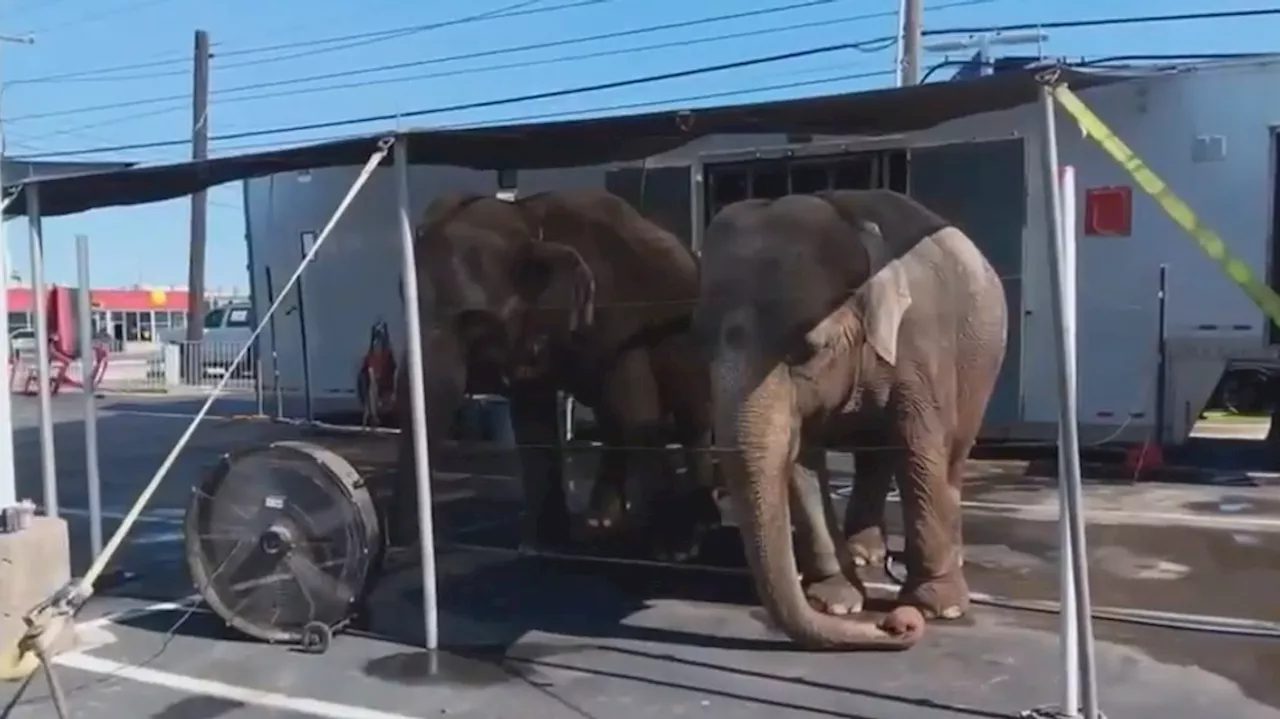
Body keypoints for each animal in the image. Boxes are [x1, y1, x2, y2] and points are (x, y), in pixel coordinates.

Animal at [691, 188, 1008, 647]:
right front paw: (836, 603)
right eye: (697, 343)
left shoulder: (921, 341)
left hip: (983, 364)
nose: (896, 626)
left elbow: (920, 450)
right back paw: (864, 554)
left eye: (808, 348)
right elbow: (801, 460)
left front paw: (939, 609)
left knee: (953, 455)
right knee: (875, 456)